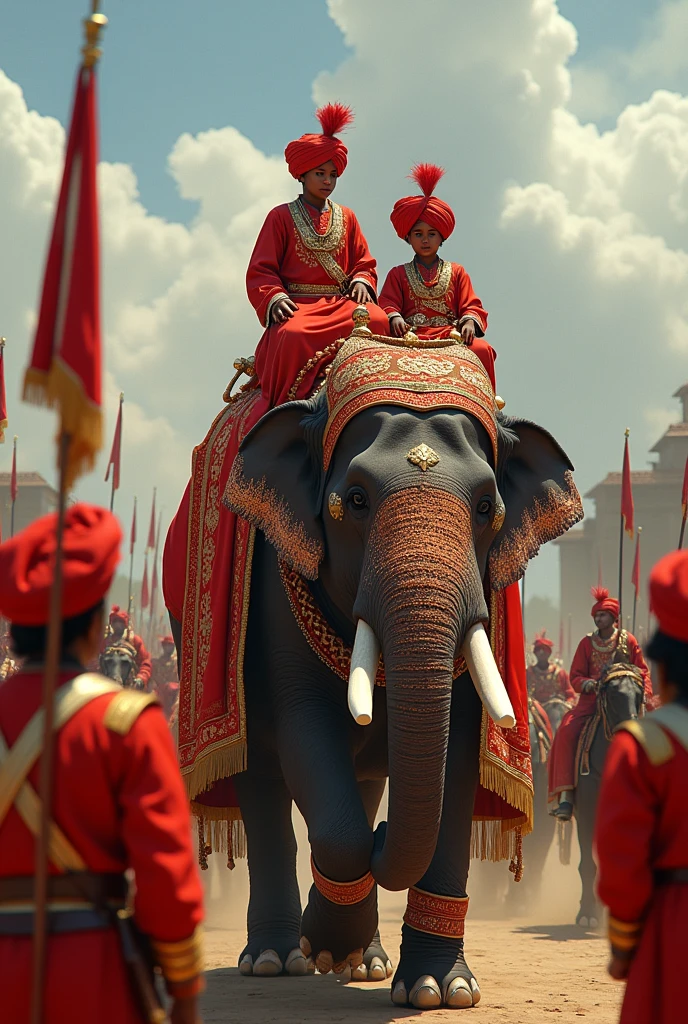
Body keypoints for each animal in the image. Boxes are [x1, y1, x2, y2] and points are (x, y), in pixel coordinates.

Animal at [172, 335, 581, 1007]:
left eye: (487, 507)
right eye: (355, 501)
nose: (388, 833)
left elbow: (459, 754)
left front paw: (440, 989)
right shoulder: (276, 586)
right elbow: (305, 730)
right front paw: (325, 943)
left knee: (360, 779)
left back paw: (363, 962)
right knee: (259, 775)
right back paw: (277, 959)